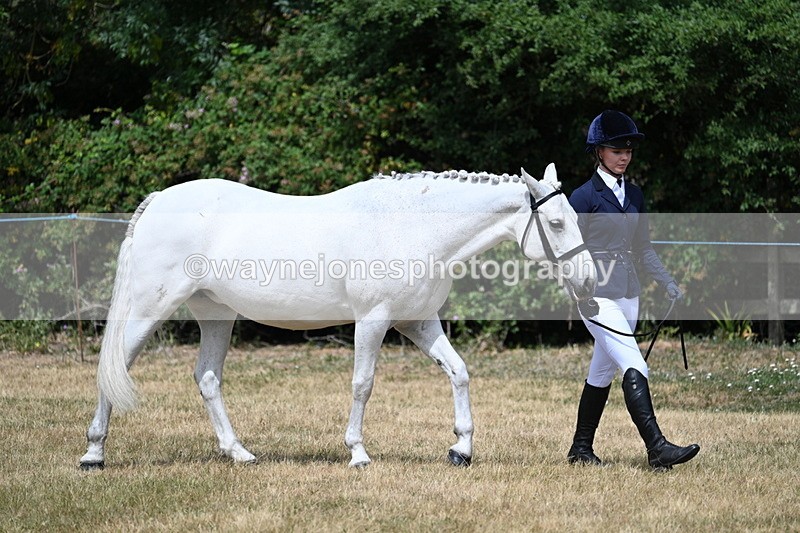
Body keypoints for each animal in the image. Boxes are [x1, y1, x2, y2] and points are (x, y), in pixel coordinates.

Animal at [79, 163, 596, 469]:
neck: (414, 226)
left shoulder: (418, 322)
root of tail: (158, 200)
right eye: (555, 223)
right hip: (150, 309)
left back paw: (240, 453)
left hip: (217, 315)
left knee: (207, 378)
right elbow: (362, 385)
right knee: (115, 369)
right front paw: (358, 454)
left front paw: (461, 449)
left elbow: (459, 372)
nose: (590, 281)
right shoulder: (373, 322)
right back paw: (93, 454)